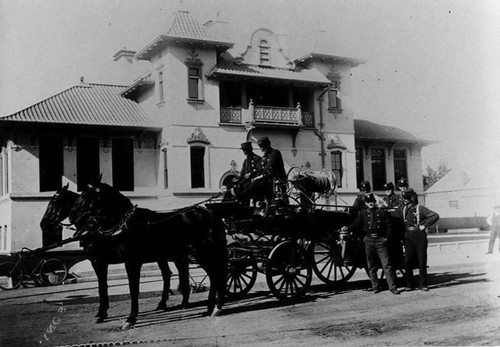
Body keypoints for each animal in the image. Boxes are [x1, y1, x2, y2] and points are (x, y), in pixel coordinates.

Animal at [39, 185, 193, 328]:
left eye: (54, 201)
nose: (43, 223)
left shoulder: (117, 261)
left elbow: (131, 288)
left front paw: (126, 317)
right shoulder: (97, 261)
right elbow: (102, 286)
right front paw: (101, 313)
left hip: (176, 254)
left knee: (182, 271)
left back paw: (184, 300)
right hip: (161, 256)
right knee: (168, 274)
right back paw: (164, 303)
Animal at [67, 181, 228, 330]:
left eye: (86, 196)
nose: (72, 217)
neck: (124, 226)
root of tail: (210, 213)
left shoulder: (130, 262)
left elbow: (133, 289)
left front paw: (130, 319)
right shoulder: (100, 261)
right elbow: (102, 287)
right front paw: (102, 314)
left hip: (203, 253)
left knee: (216, 275)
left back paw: (216, 307)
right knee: (214, 276)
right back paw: (210, 307)